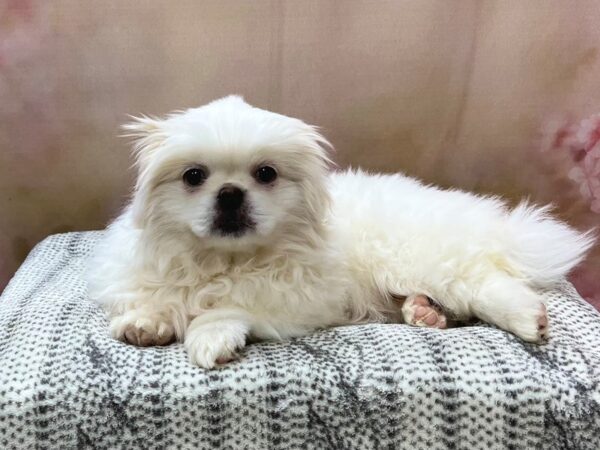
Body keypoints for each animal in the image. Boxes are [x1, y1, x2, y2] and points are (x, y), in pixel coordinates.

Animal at [85, 96, 596, 368]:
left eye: (266, 174)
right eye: (194, 176)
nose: (230, 193)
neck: (225, 260)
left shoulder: (296, 299)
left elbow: (230, 306)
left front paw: (210, 337)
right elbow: (161, 298)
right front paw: (147, 322)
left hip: (425, 259)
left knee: (486, 286)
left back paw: (528, 318)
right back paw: (423, 313)